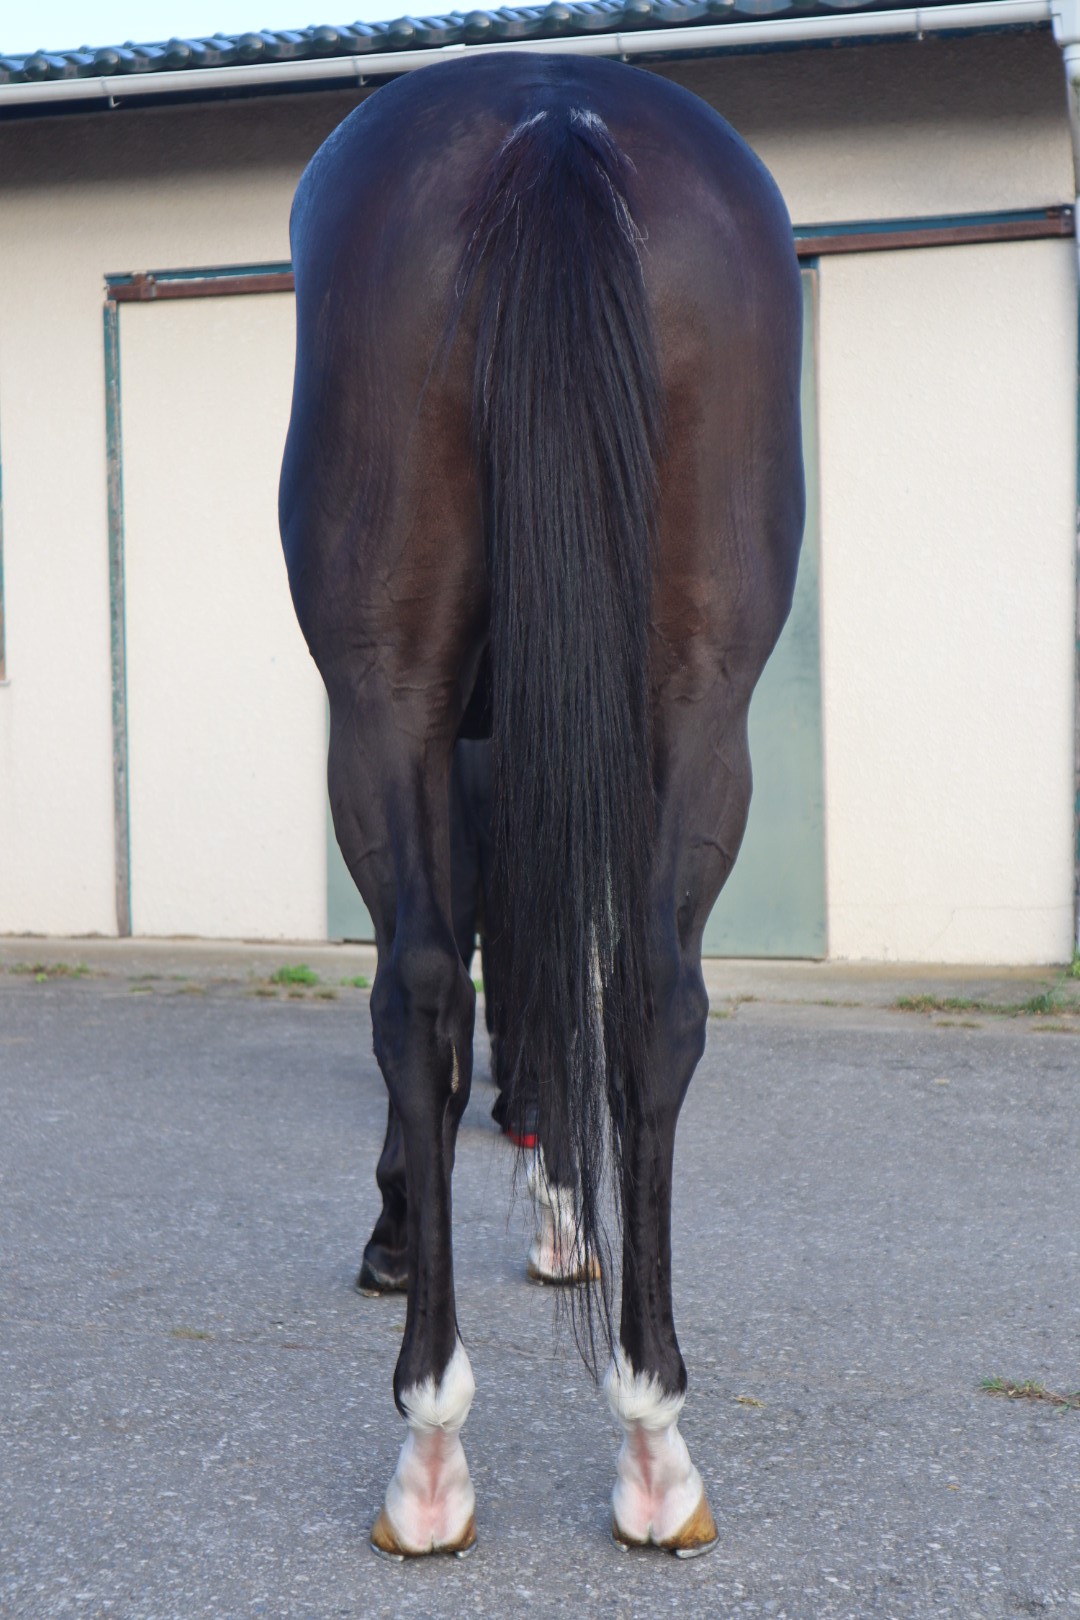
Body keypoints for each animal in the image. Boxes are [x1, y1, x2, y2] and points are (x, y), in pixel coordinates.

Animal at [279, 50, 804, 1560]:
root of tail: (551, 106)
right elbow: (563, 973)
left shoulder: (471, 751)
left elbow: (491, 973)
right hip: (701, 696)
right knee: (654, 999)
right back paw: (653, 1432)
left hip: (383, 696)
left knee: (416, 995)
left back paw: (432, 1442)